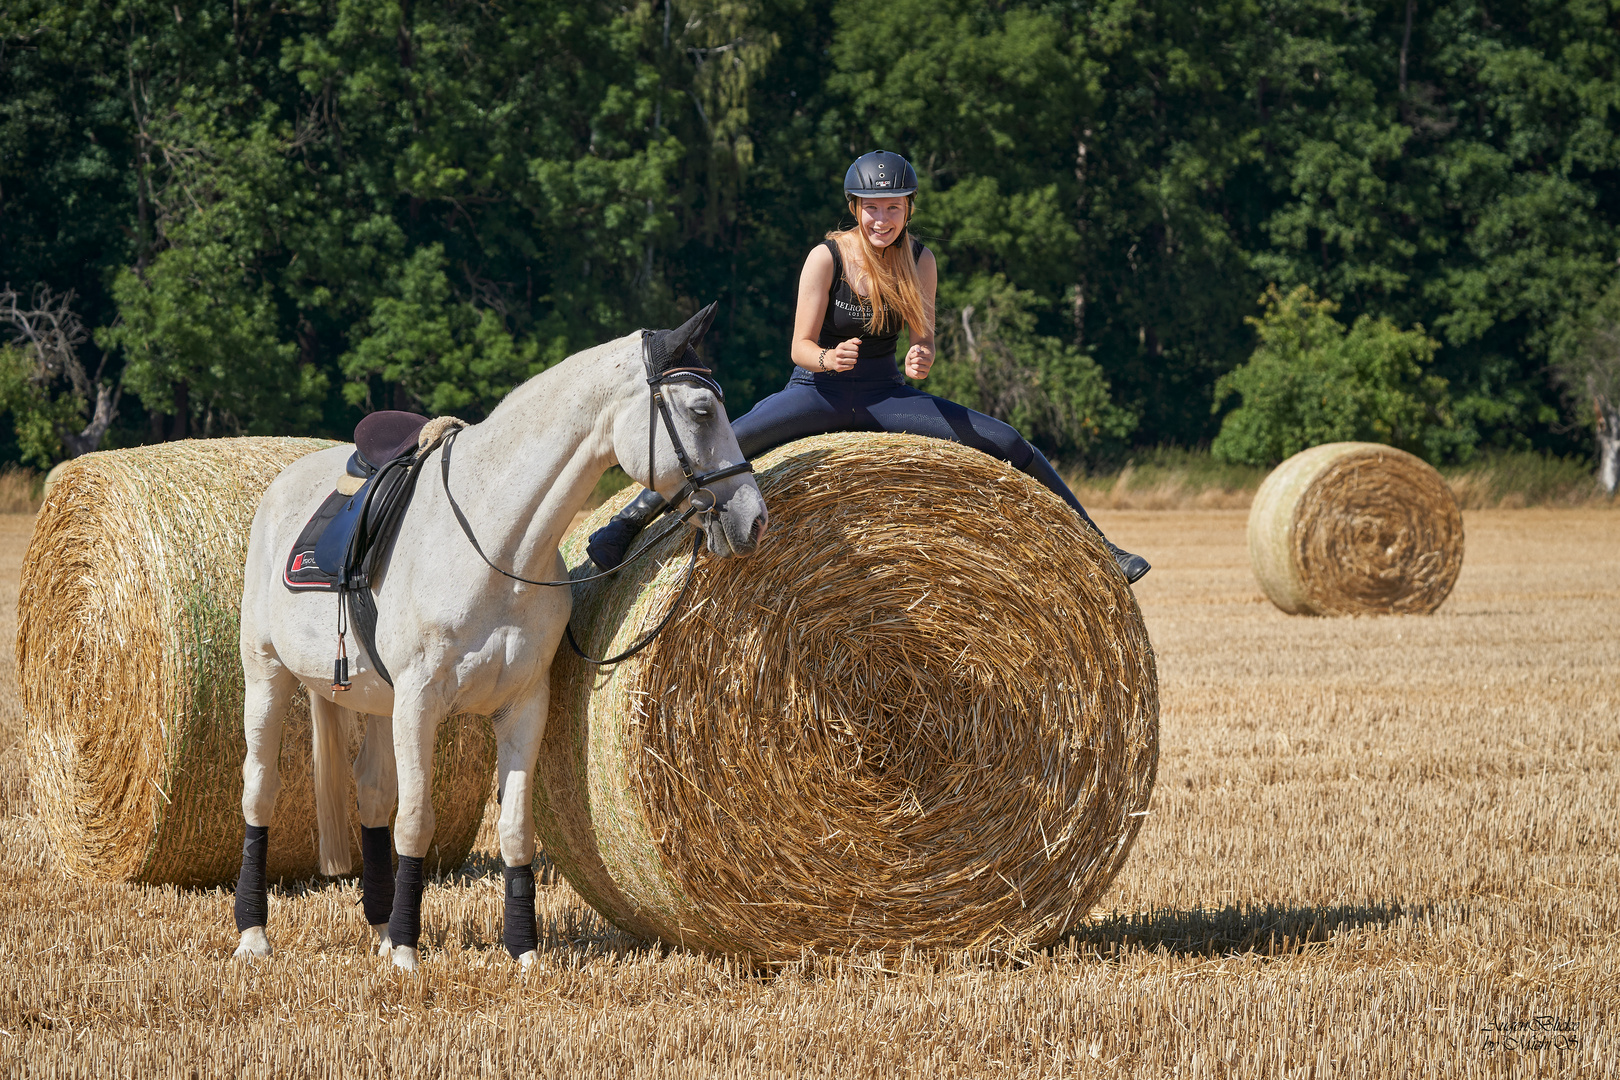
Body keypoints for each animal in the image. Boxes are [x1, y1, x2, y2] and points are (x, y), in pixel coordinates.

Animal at [228, 306, 764, 971]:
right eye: (701, 410)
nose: (754, 518)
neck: (497, 543)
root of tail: (284, 482)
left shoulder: (523, 705)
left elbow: (513, 830)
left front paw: (524, 953)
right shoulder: (419, 703)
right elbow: (416, 821)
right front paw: (408, 955)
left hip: (375, 702)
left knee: (372, 794)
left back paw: (377, 929)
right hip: (267, 676)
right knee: (261, 792)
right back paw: (255, 934)